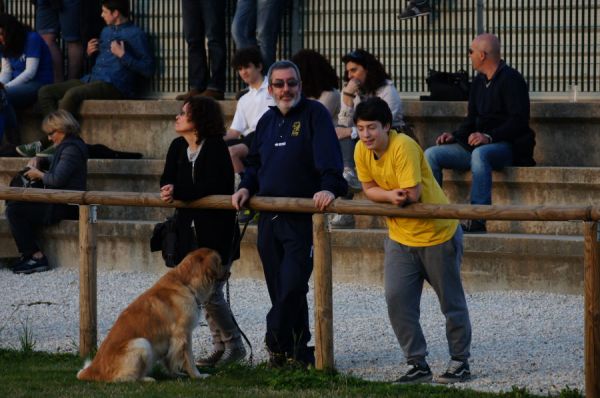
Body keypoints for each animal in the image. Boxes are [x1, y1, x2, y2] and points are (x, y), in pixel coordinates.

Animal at [77, 247, 223, 380]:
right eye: (220, 261)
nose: (228, 269)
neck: (186, 283)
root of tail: (92, 369)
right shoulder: (183, 333)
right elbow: (189, 359)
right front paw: (198, 376)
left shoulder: (173, 339)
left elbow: (170, 359)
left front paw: (176, 374)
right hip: (142, 343)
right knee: (127, 378)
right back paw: (147, 379)